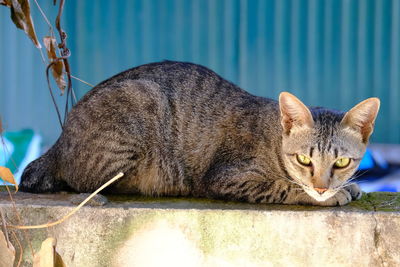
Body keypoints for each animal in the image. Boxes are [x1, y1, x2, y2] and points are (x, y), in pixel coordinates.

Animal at [19, 61, 382, 207]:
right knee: (94, 182)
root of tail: (59, 141)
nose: (322, 187)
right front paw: (330, 195)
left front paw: (349, 186)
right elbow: (282, 187)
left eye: (341, 163)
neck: (274, 137)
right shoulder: (227, 176)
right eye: (305, 159)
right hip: (143, 99)